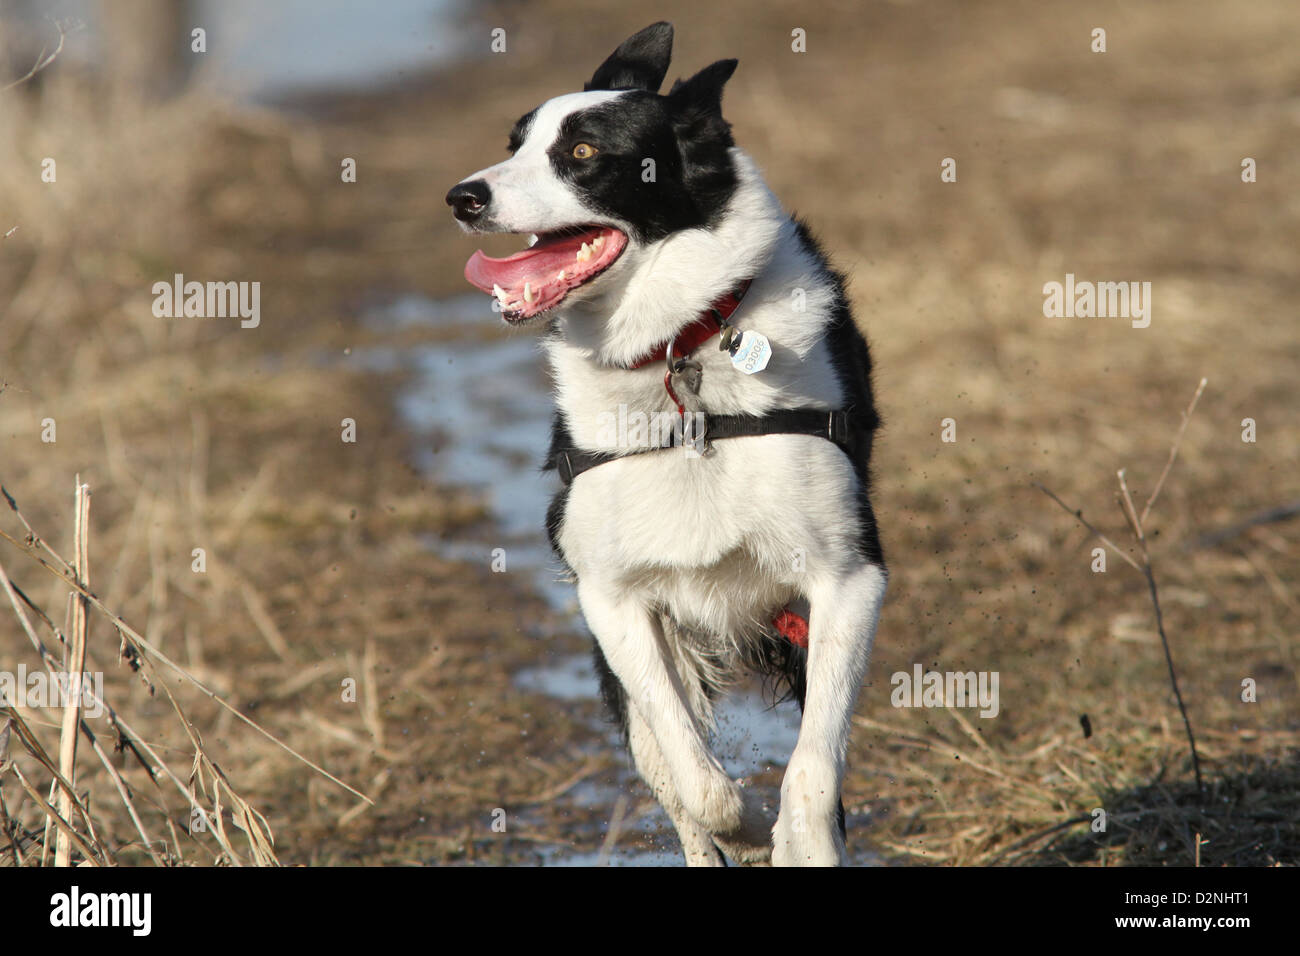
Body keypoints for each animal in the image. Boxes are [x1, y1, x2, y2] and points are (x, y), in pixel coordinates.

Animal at [447, 22, 883, 863]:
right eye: (514, 143)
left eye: (583, 152)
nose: (462, 197)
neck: (681, 356)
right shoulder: (612, 599)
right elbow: (697, 782)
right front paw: (745, 822)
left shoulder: (849, 580)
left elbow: (814, 773)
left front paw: (790, 832)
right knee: (671, 778)